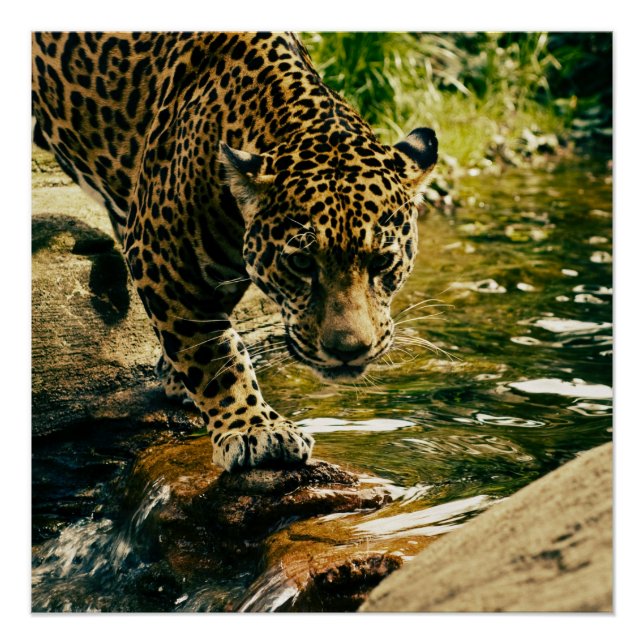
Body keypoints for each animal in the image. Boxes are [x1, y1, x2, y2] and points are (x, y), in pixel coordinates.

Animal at [32, 32, 438, 472]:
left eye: (382, 261)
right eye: (301, 262)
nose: (347, 351)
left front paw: (175, 378)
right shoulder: (163, 256)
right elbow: (214, 352)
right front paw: (255, 428)